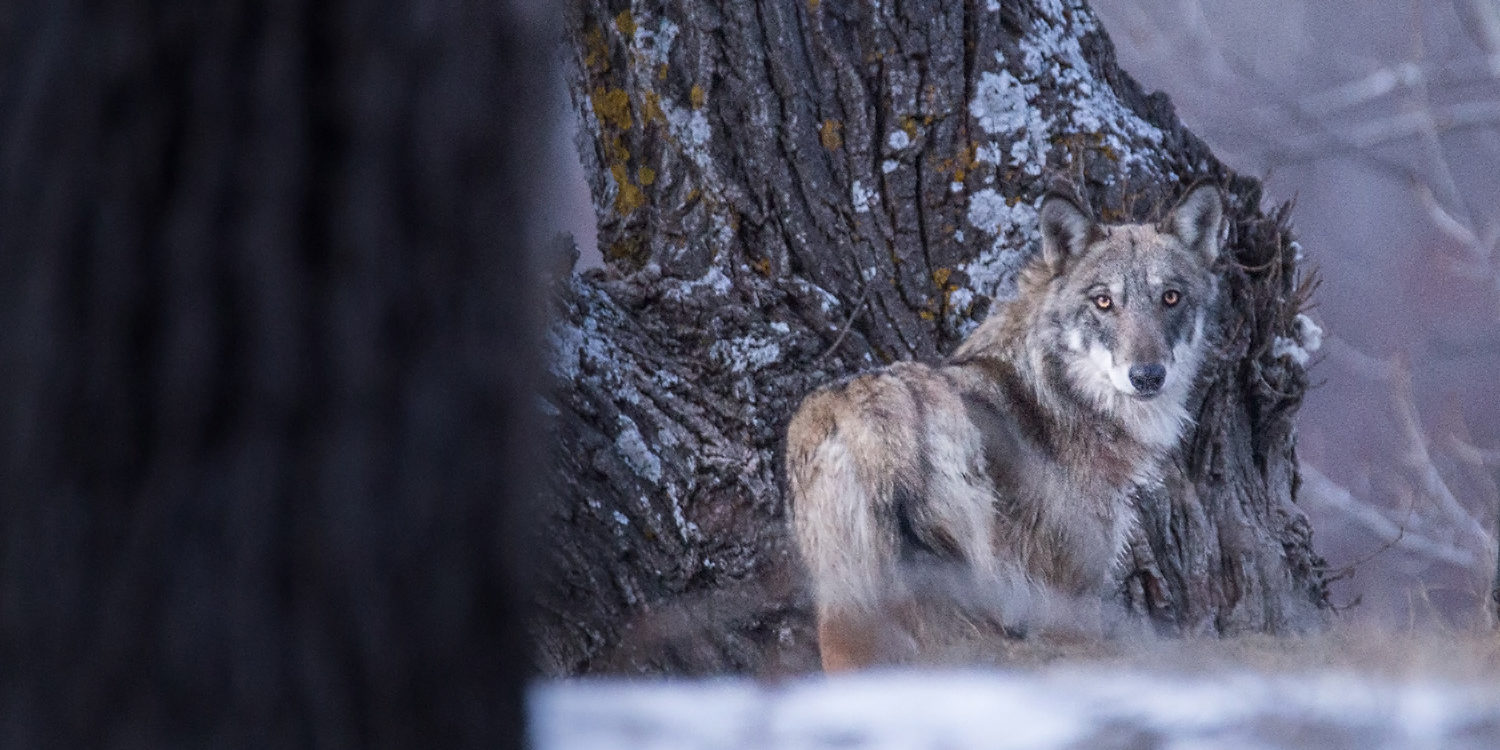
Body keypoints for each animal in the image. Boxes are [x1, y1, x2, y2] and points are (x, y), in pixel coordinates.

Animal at [786, 185, 1224, 670]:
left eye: (1171, 297)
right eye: (1103, 302)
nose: (1147, 376)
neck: (1059, 396)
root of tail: (869, 412)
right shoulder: (1068, 601)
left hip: (848, 613)